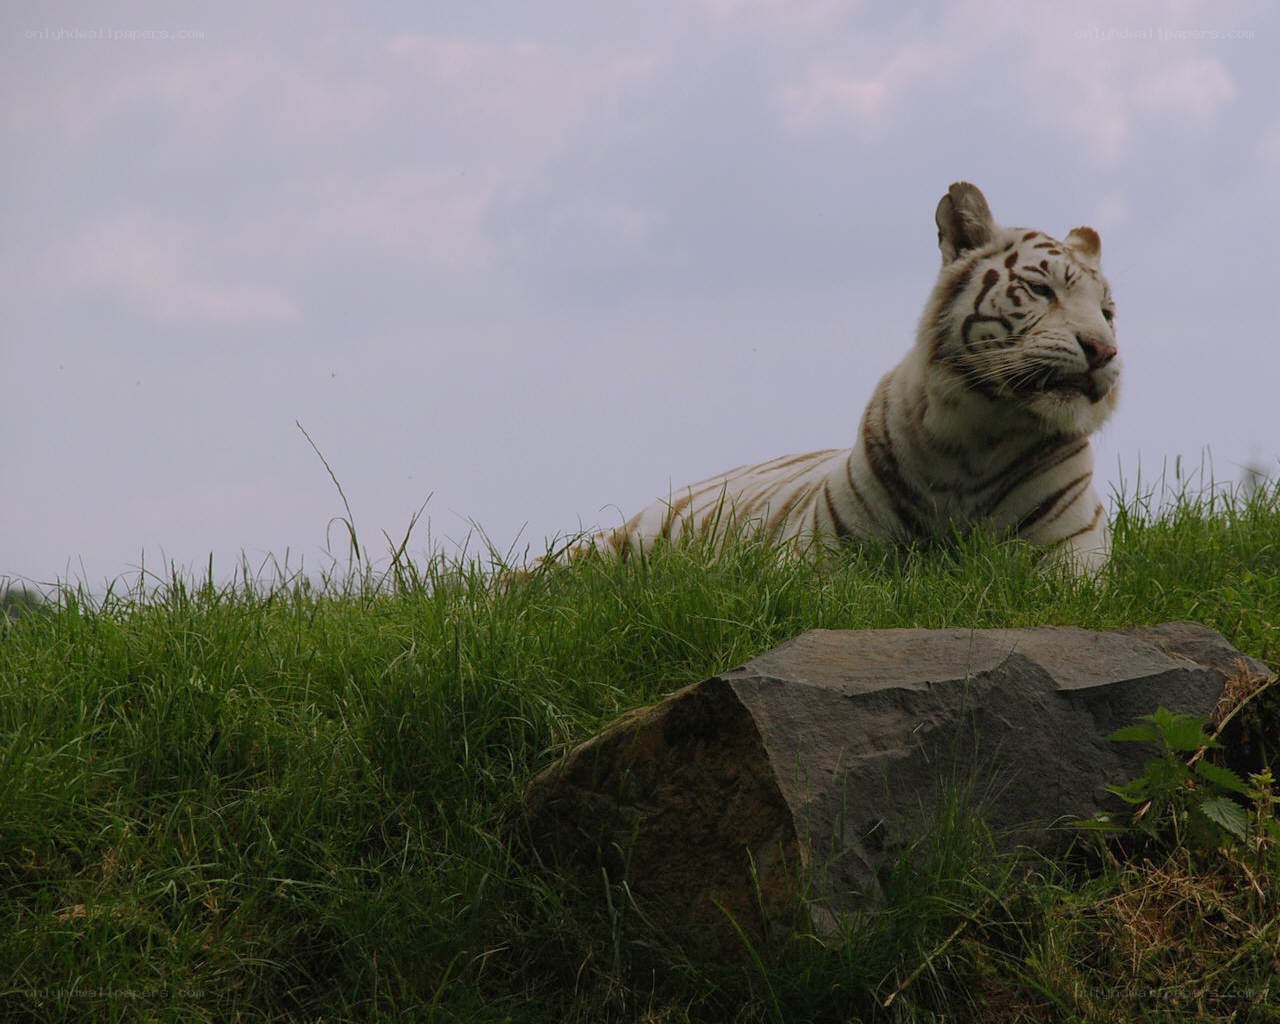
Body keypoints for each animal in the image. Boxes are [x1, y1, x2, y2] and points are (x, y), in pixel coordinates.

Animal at [571, 182, 1120, 574]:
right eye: (1041, 289)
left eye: (1107, 312)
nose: (1103, 351)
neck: (979, 440)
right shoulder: (822, 554)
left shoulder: (1072, 553)